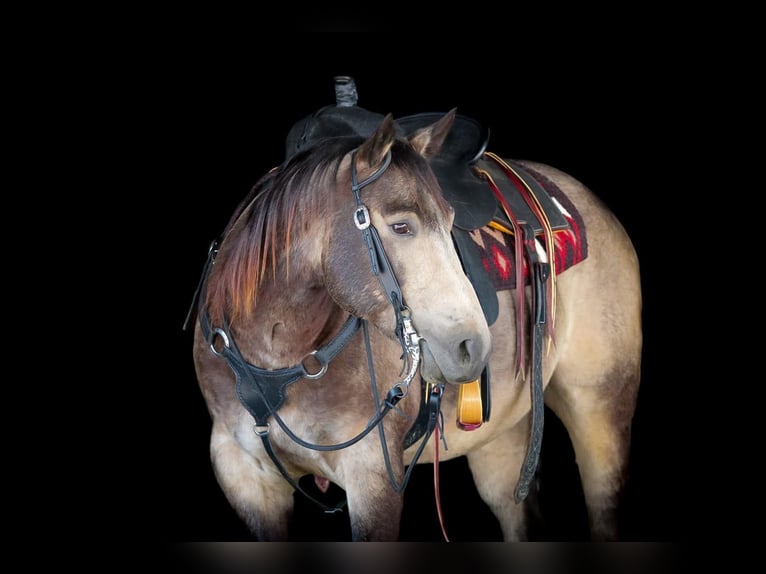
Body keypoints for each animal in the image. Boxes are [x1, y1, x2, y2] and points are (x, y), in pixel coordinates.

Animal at [184, 76, 640, 544]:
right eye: (402, 226)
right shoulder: (245, 475)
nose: (472, 346)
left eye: (451, 220)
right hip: (501, 435)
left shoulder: (373, 475)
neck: (277, 352)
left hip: (600, 407)